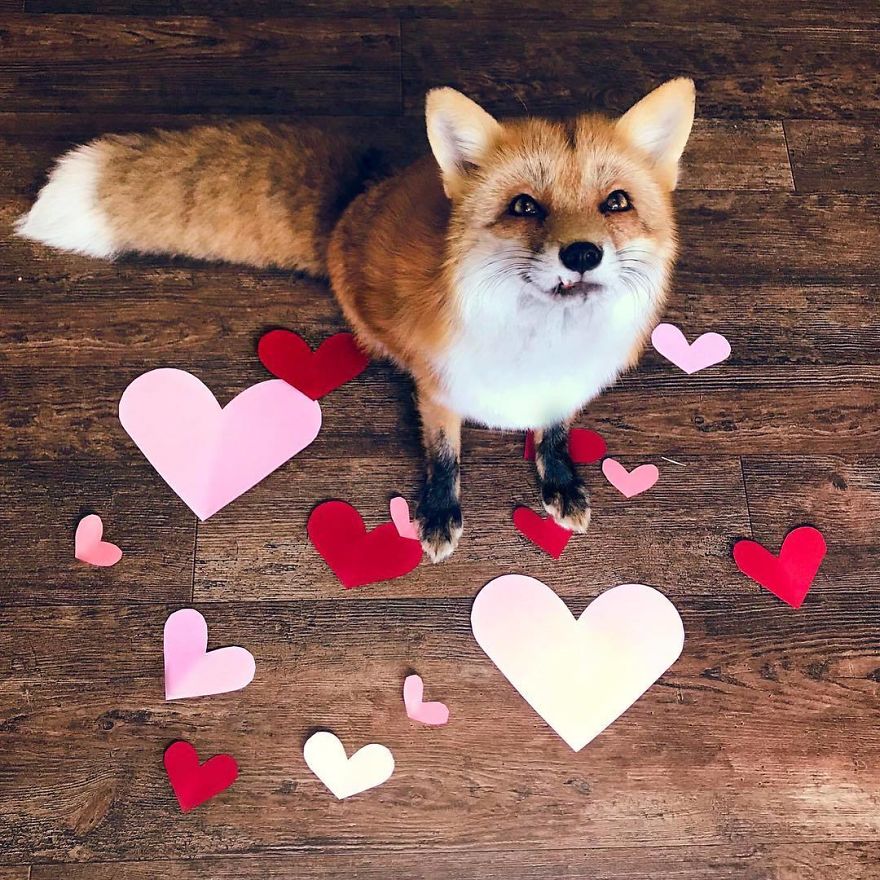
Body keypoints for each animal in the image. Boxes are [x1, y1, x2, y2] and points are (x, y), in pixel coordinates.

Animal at [17, 78, 696, 562]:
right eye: (525, 206)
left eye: (616, 203)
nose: (581, 254)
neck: (538, 350)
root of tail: (363, 192)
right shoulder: (439, 390)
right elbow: (445, 455)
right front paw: (439, 513)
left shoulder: (565, 392)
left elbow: (552, 435)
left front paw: (558, 481)